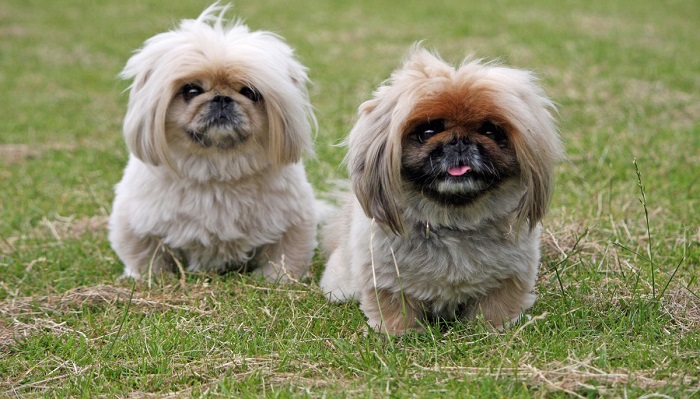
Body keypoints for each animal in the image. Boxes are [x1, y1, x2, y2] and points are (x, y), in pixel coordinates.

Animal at [109, 3, 318, 284]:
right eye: (191, 91)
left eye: (249, 92)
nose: (221, 98)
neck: (216, 169)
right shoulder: (134, 222)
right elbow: (145, 255)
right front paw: (148, 278)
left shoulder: (294, 222)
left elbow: (285, 256)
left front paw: (277, 280)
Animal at [320, 47, 568, 334]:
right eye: (428, 131)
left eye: (490, 130)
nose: (460, 141)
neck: (453, 222)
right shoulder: (385, 279)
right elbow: (394, 308)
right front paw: (398, 334)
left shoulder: (509, 277)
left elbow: (496, 307)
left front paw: (495, 329)